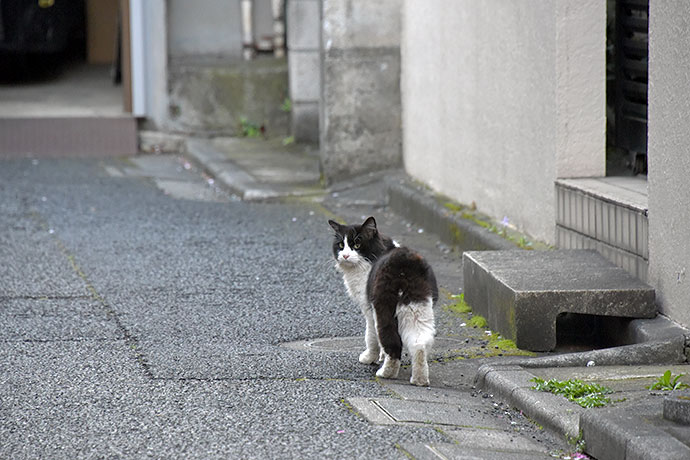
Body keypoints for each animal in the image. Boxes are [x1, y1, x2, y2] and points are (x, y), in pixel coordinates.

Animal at [328, 216, 436, 384]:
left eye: (357, 244)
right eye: (341, 245)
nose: (345, 255)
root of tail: (403, 265)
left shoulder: (369, 309)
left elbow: (371, 337)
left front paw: (369, 357)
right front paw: (380, 357)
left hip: (383, 309)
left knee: (392, 343)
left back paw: (386, 373)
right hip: (418, 309)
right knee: (419, 344)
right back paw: (419, 379)